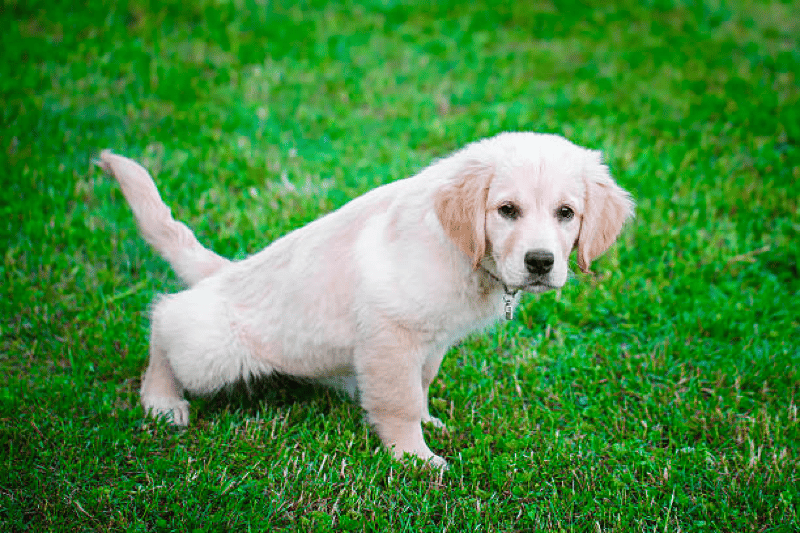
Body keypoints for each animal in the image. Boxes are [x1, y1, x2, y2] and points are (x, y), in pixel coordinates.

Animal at [100, 132, 636, 466]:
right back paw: (162, 401)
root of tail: (225, 273)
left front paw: (429, 423)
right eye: (507, 210)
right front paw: (415, 458)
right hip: (215, 351)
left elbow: (421, 384)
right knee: (166, 318)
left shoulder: (430, 341)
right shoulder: (390, 334)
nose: (541, 262)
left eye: (566, 213)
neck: (462, 252)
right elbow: (399, 400)